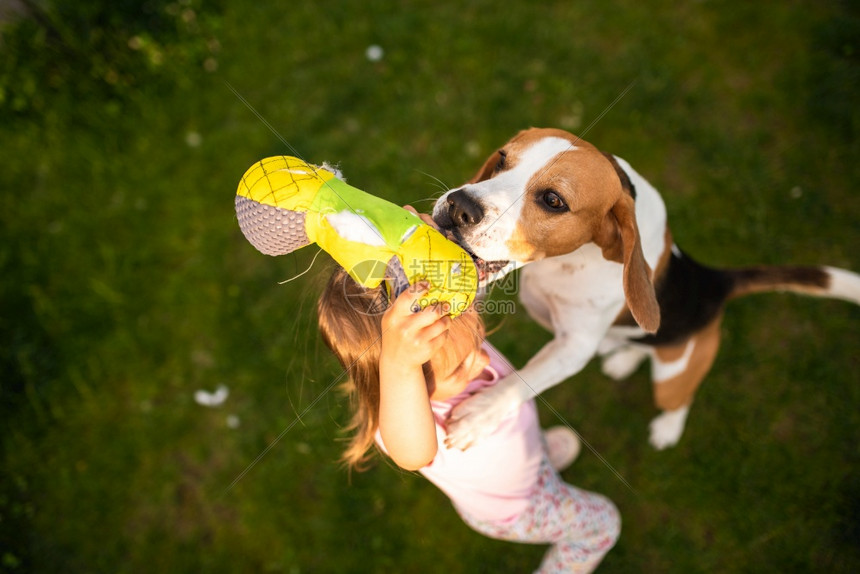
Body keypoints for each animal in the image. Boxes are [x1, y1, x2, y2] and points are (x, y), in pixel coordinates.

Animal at [434, 128, 860, 452]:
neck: (567, 262)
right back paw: (624, 358)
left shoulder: (574, 347)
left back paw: (668, 428)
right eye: (501, 160)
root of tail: (714, 282)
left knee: (679, 399)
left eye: (553, 200)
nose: (459, 206)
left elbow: (525, 382)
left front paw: (480, 415)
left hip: (673, 380)